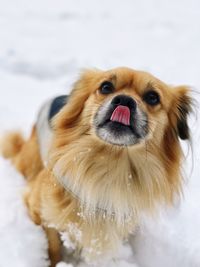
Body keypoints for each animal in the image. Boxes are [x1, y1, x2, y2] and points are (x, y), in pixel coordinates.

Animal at [1, 67, 192, 266]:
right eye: (106, 87)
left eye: (153, 97)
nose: (124, 100)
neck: (110, 166)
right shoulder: (40, 211)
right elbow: (52, 247)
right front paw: (54, 262)